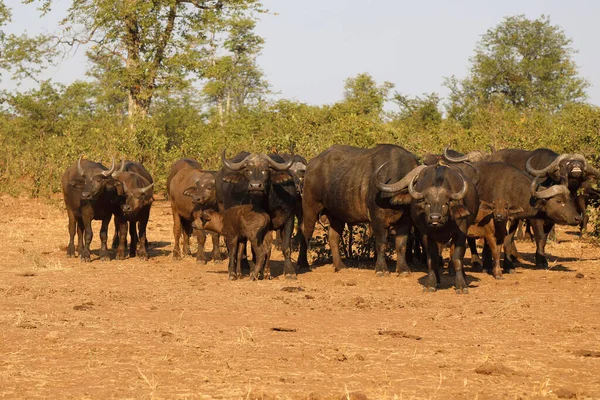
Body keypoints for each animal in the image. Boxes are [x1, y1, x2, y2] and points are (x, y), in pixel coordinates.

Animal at [302, 145, 420, 276]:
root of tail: (311, 164)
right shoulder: (377, 219)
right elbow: (381, 243)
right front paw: (381, 269)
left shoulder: (406, 221)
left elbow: (401, 245)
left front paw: (403, 269)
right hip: (310, 207)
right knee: (305, 231)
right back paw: (303, 264)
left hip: (336, 215)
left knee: (333, 237)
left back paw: (340, 266)